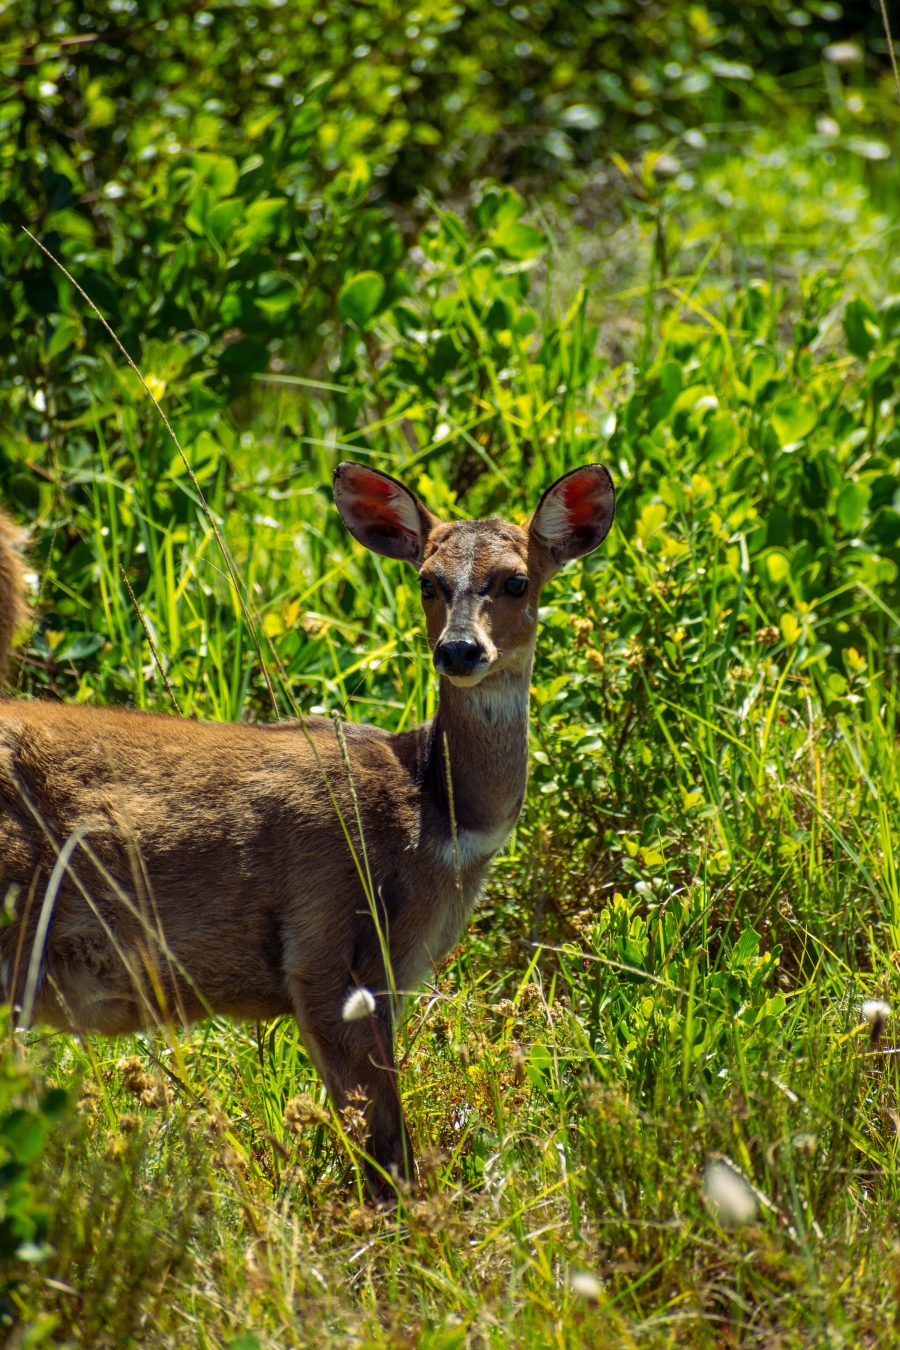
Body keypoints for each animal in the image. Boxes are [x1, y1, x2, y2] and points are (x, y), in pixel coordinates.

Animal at [0, 464, 615, 1193]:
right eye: (427, 580)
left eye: (517, 580)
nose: (460, 650)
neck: (434, 816)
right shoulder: (326, 947)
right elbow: (385, 1152)